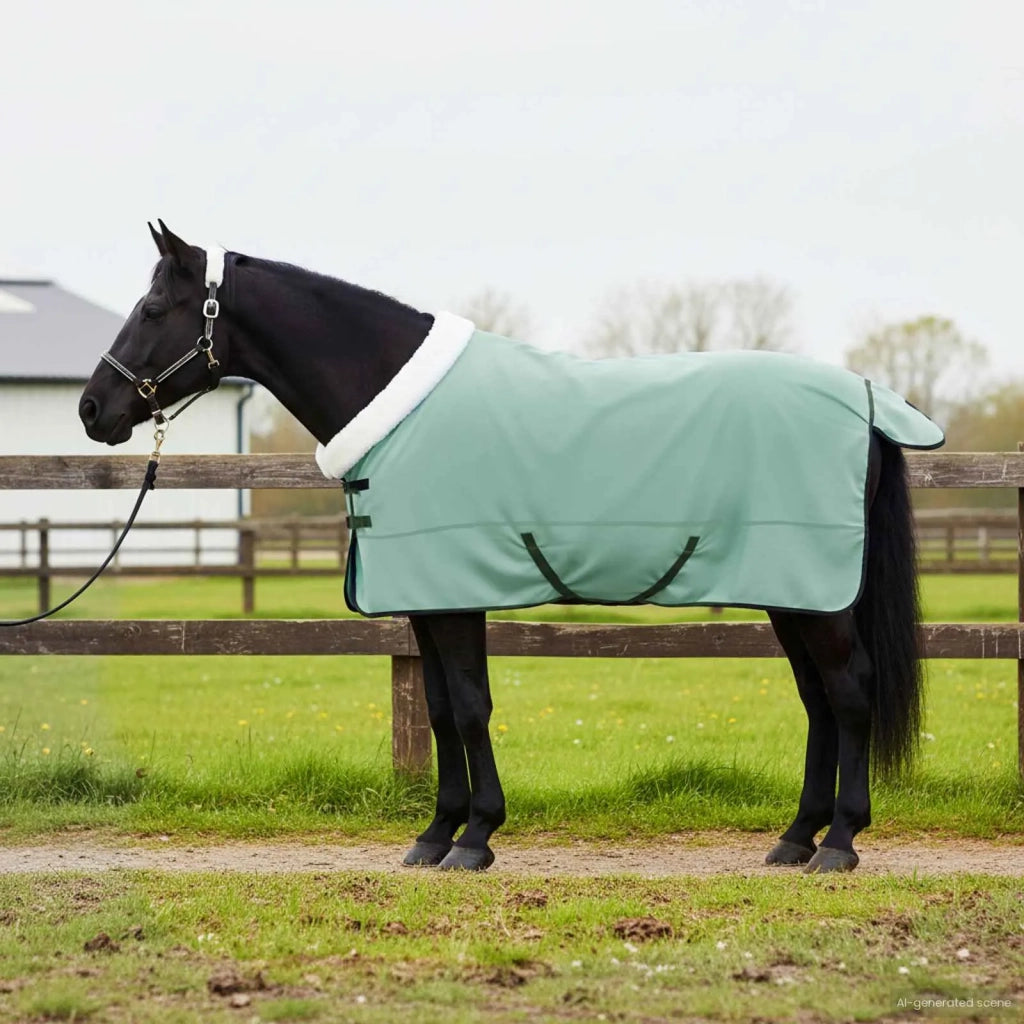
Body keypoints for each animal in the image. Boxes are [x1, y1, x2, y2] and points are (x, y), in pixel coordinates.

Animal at [79, 221, 939, 874]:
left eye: (153, 307)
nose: (92, 408)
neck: (396, 404)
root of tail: (867, 401)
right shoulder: (425, 600)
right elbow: (437, 710)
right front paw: (436, 835)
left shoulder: (454, 595)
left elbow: (467, 707)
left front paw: (477, 838)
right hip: (793, 591)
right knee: (818, 700)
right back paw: (795, 839)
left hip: (817, 595)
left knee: (850, 691)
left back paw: (840, 843)